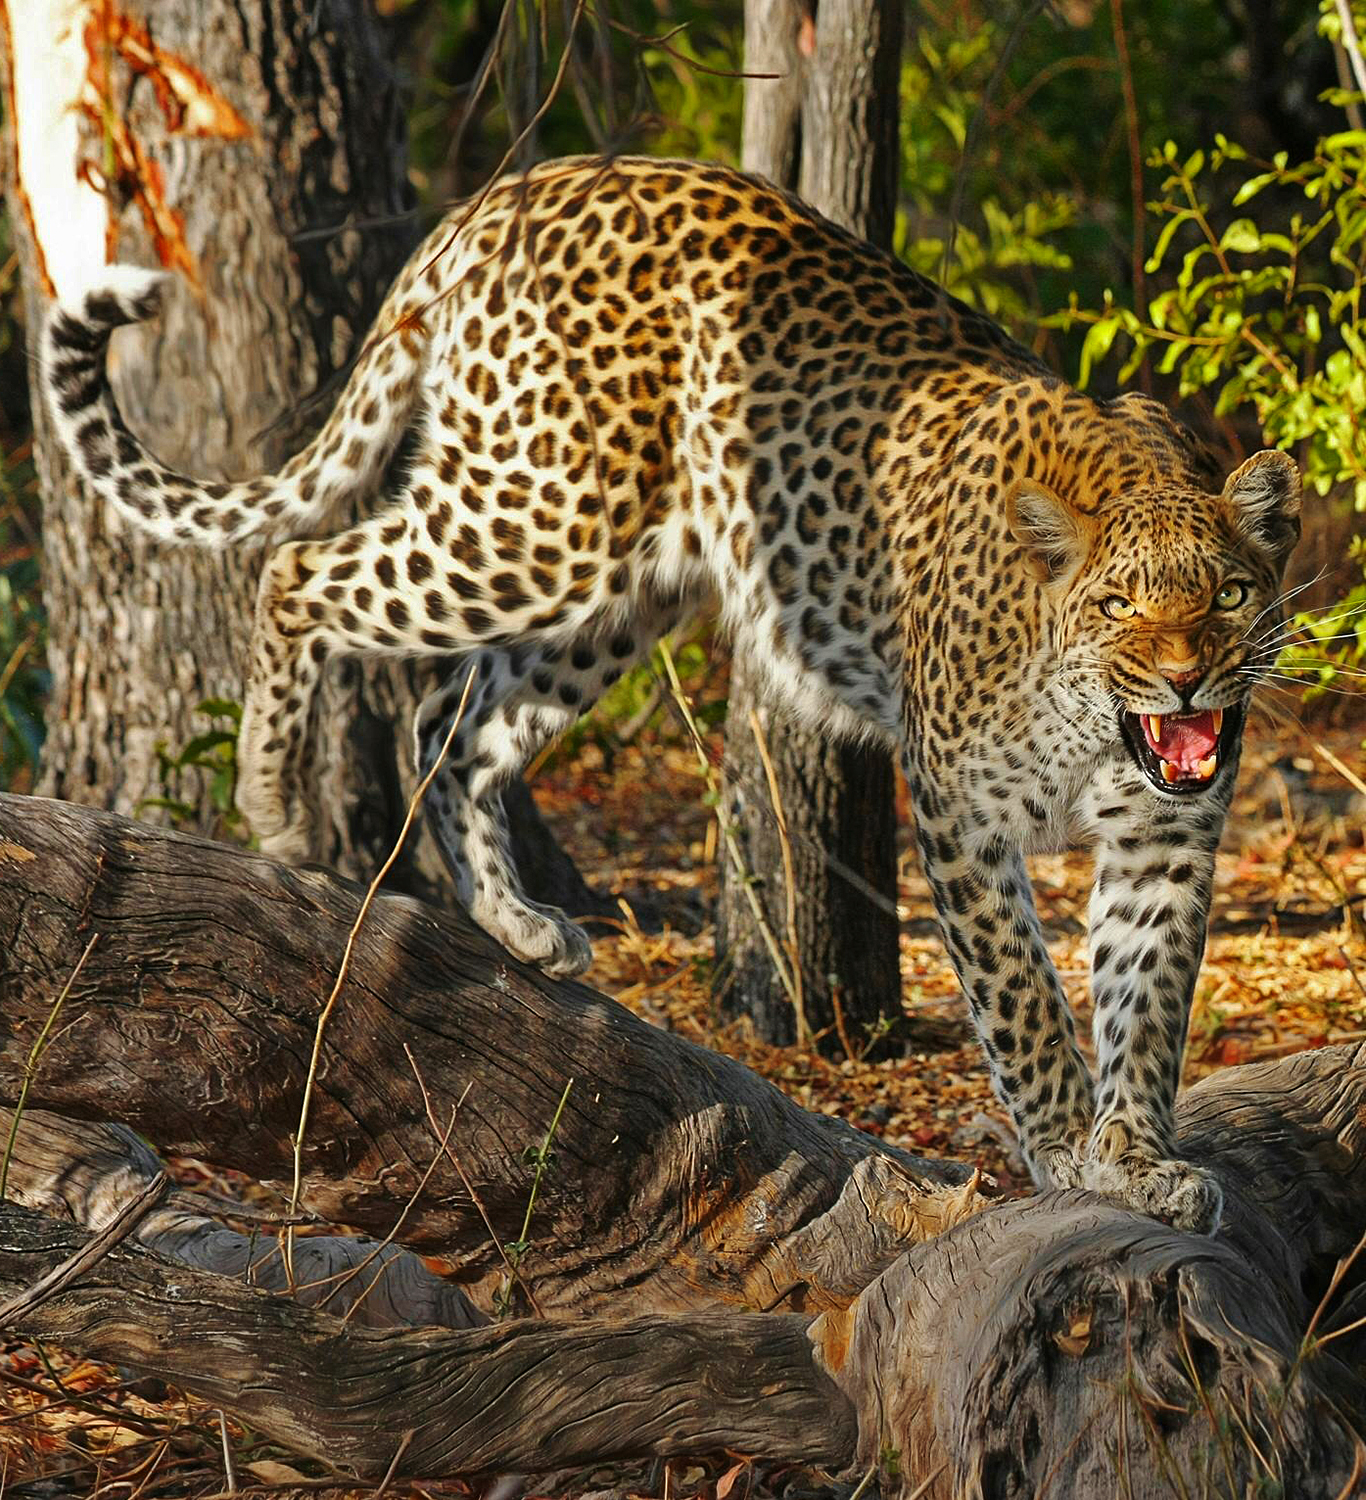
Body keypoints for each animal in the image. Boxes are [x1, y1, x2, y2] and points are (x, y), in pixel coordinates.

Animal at [43, 155, 1301, 1234]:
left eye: (1231, 594)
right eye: (1119, 605)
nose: (1185, 674)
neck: (1098, 724)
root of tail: (512, 190)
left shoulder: (1167, 838)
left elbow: (1147, 1006)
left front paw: (1136, 1160)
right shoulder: (958, 811)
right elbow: (1027, 1003)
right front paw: (1068, 1152)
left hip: (618, 592)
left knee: (450, 724)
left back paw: (515, 922)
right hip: (539, 520)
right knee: (300, 571)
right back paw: (275, 804)